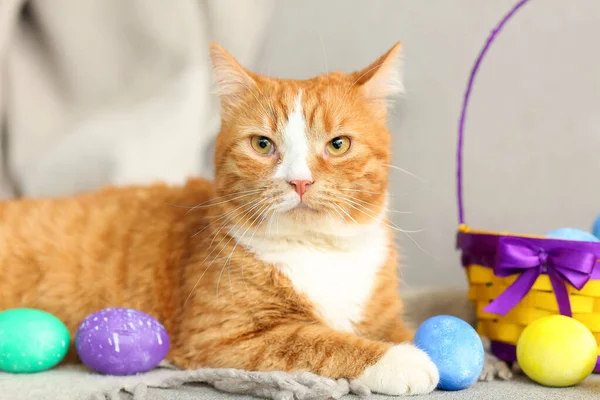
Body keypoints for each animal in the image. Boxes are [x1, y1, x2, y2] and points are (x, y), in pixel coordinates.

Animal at [1, 43, 440, 394]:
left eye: (338, 145)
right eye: (262, 144)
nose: (300, 181)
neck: (317, 250)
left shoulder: (385, 318)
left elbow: (400, 331)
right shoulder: (221, 337)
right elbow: (317, 340)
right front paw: (400, 359)